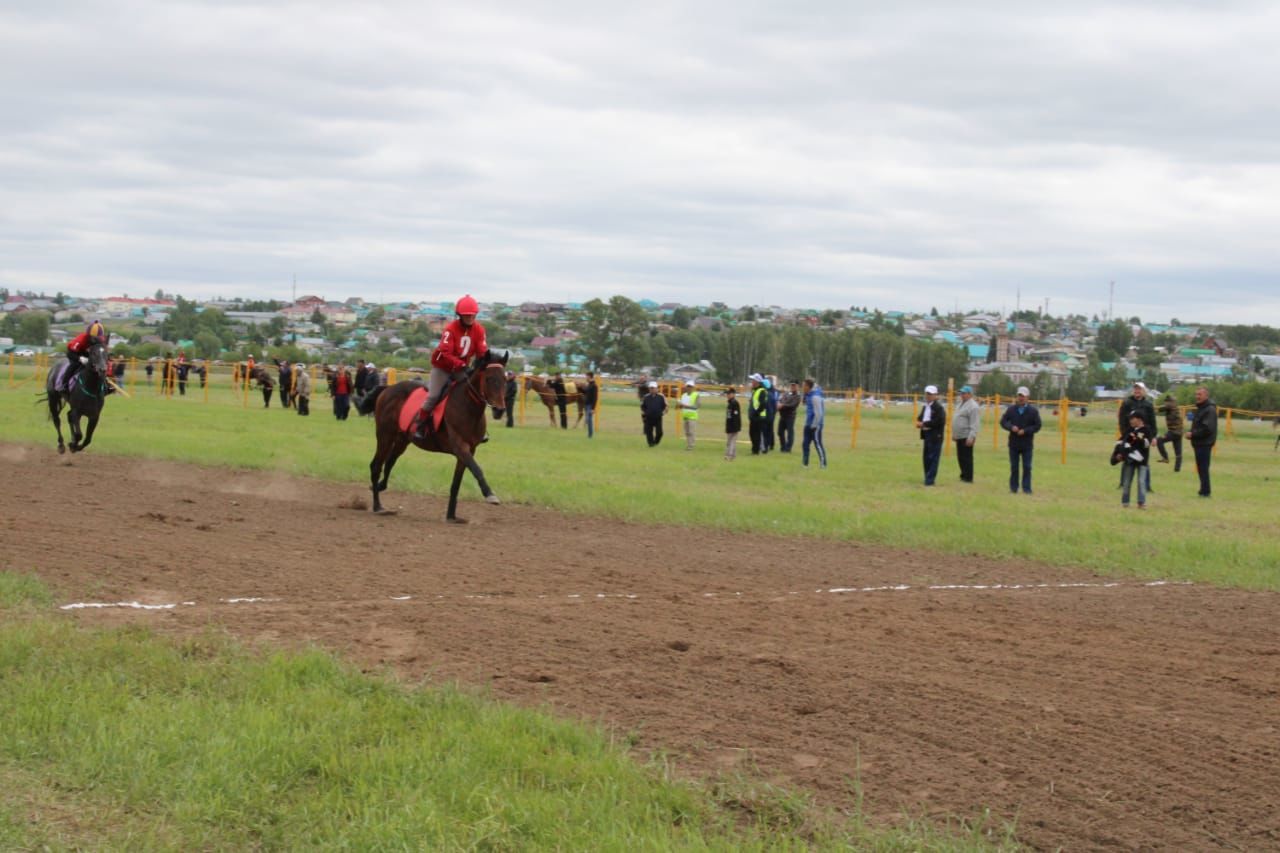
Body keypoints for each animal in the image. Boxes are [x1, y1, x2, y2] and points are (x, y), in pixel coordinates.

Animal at [363, 348, 506, 522]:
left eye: (505, 379)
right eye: (489, 379)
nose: (499, 410)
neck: (468, 406)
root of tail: (386, 389)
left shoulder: (469, 451)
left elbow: (456, 484)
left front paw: (452, 516)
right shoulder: (460, 447)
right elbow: (477, 469)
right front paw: (490, 495)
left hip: (402, 439)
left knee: (390, 461)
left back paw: (379, 486)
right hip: (385, 435)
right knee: (376, 465)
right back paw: (378, 506)